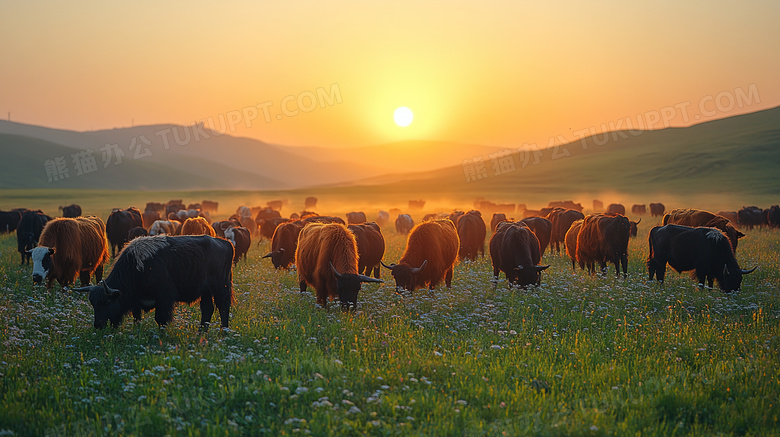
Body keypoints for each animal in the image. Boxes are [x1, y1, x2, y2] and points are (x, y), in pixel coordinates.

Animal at [76, 237, 235, 328]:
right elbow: (137, 318)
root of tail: (226, 243)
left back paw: (223, 332)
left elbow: (161, 319)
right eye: (93, 303)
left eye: (107, 301)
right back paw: (202, 333)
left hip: (221, 287)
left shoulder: (164, 297)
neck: (137, 267)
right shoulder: (136, 302)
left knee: (223, 308)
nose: (97, 324)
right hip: (206, 291)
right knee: (207, 309)